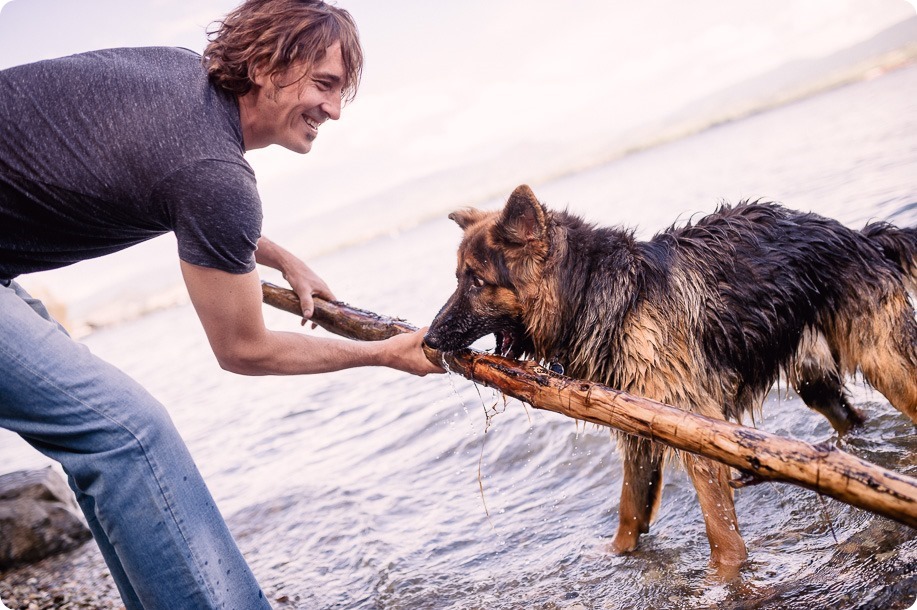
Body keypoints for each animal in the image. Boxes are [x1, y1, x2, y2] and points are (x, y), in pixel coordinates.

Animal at [424, 184, 916, 568]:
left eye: (475, 281)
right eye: (458, 277)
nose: (428, 340)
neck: (596, 296)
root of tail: (860, 236)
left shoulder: (697, 432)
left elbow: (721, 534)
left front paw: (726, 579)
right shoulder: (639, 431)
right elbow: (629, 512)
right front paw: (615, 557)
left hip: (886, 364)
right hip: (815, 381)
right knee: (849, 422)